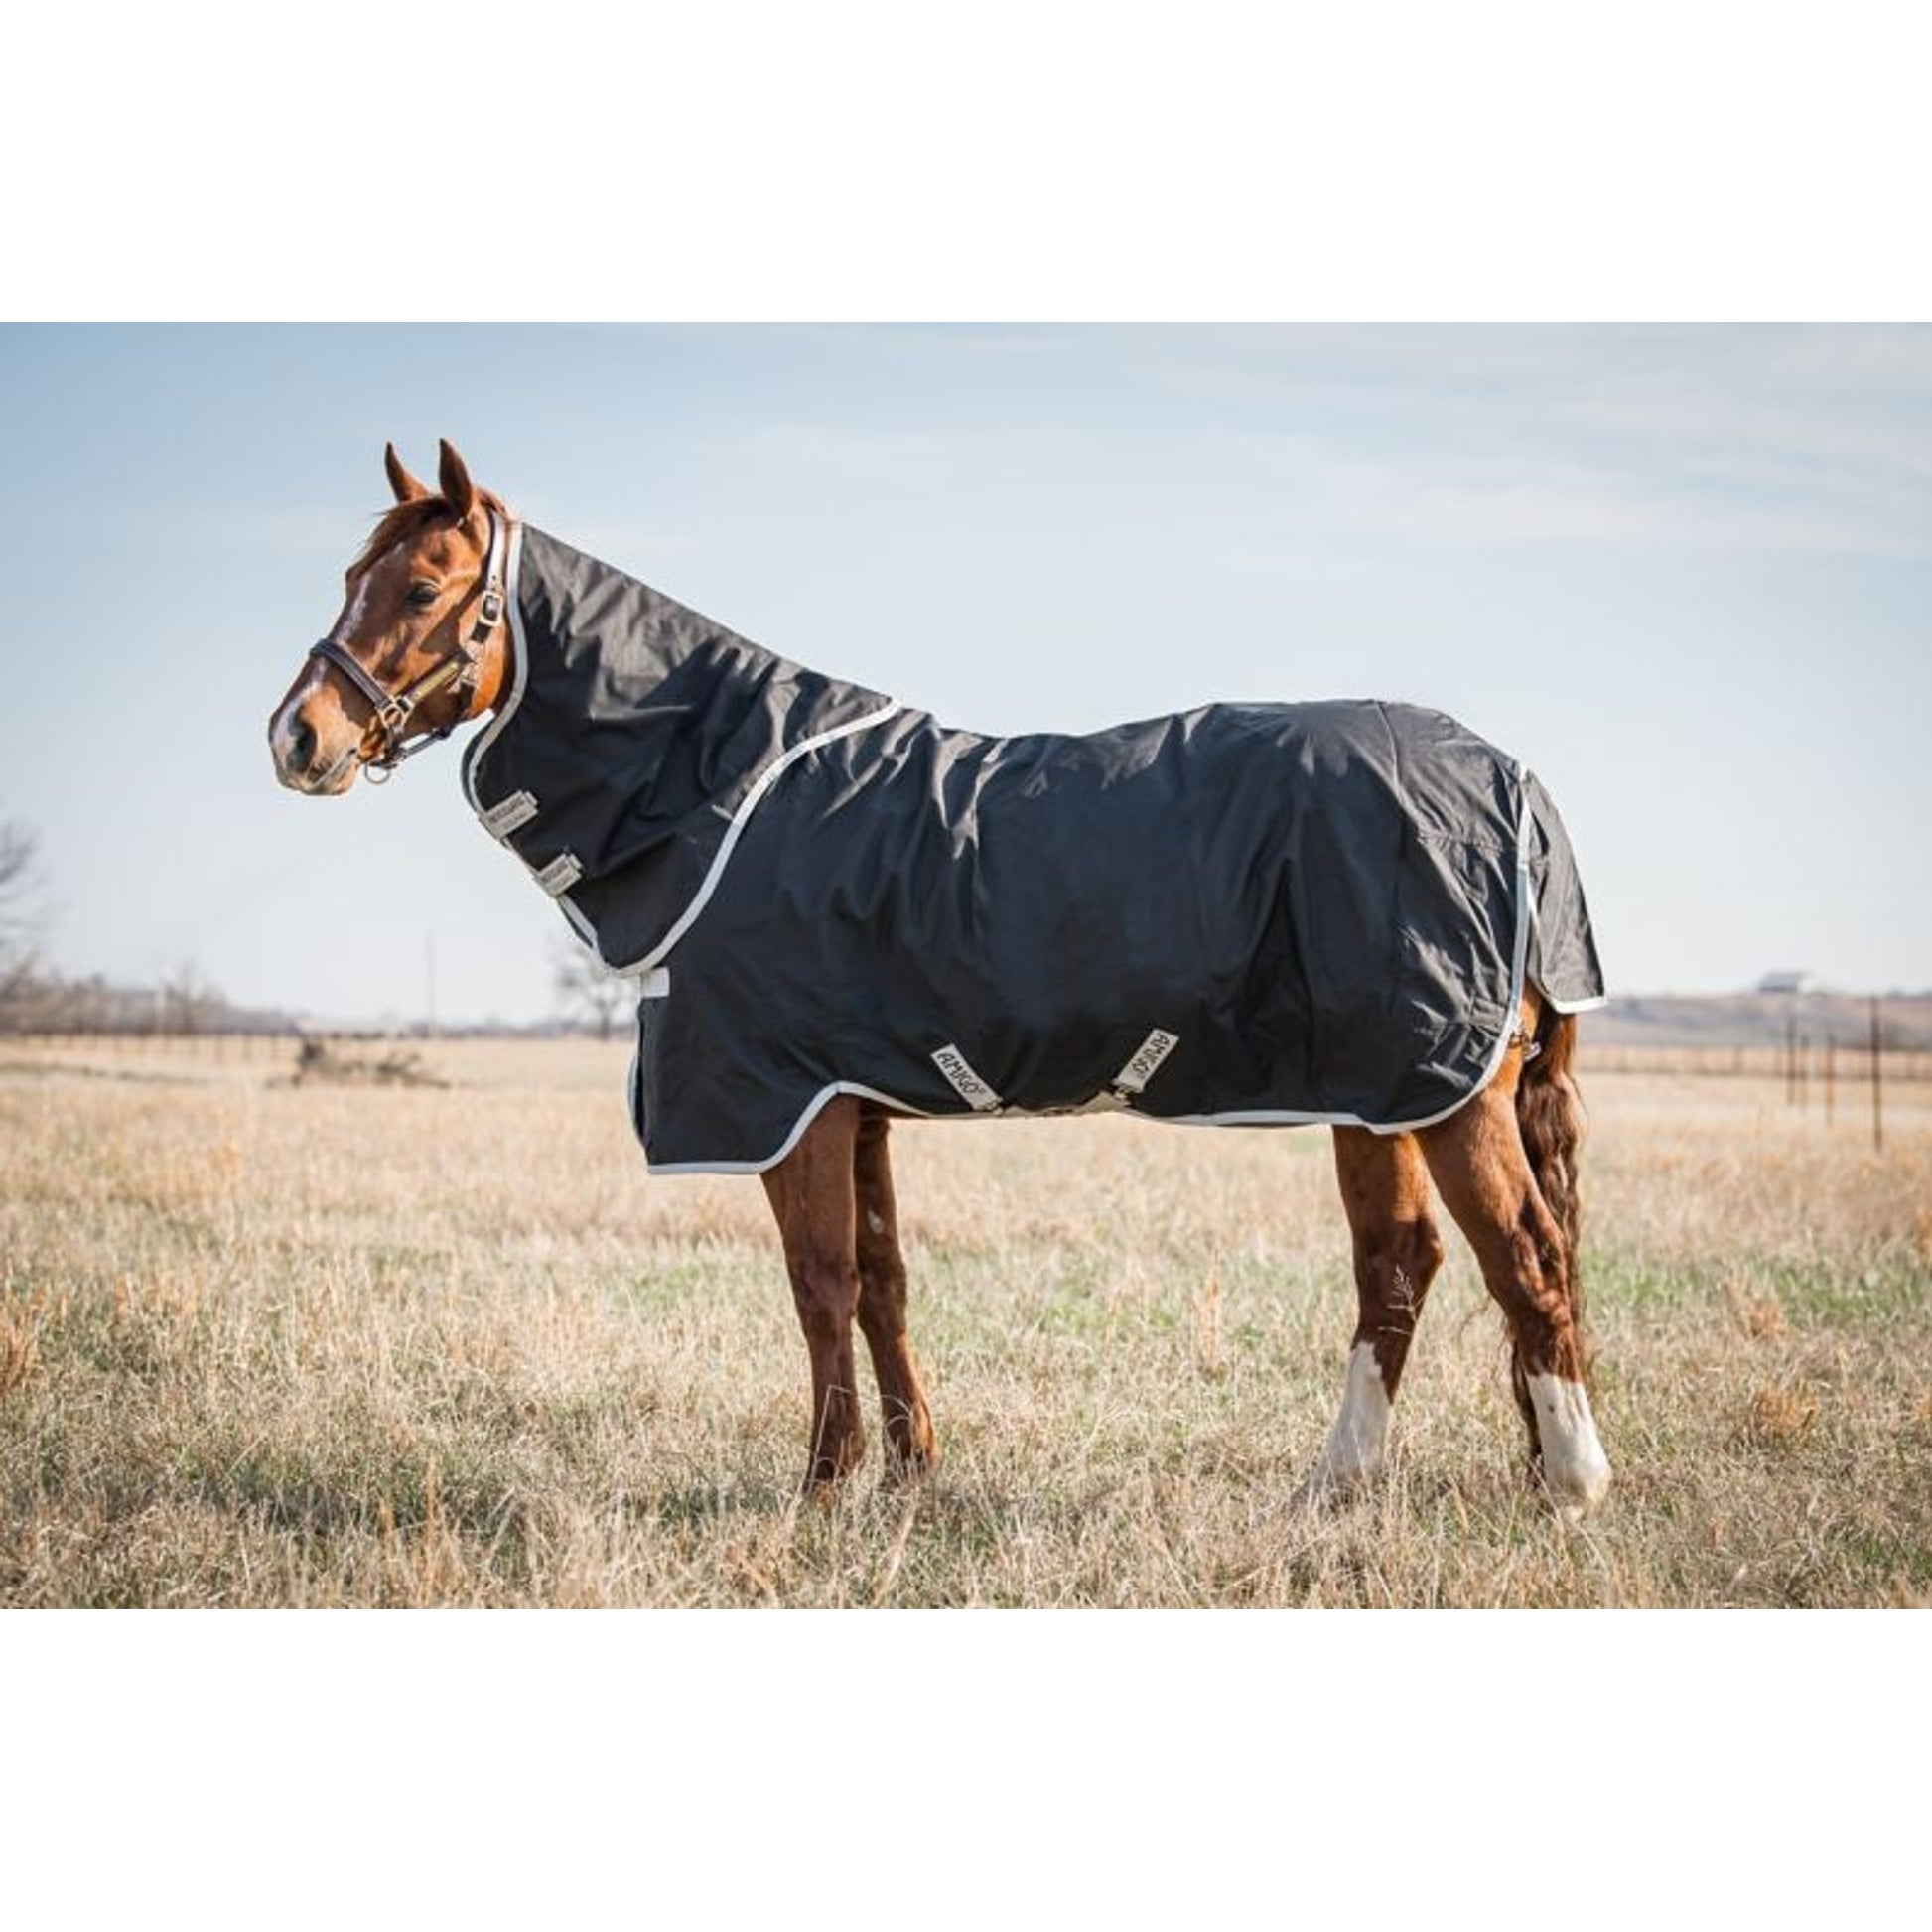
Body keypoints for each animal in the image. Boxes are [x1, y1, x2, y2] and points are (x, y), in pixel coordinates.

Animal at [268, 439, 1613, 1516]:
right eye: (347, 581)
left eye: (423, 587)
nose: (297, 737)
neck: (725, 784)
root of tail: (1514, 782)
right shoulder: (851, 1102)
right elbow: (884, 1283)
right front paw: (913, 1474)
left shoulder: (788, 1105)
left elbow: (818, 1285)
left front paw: (822, 1486)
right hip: (1377, 1091)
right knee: (1401, 1265)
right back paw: (1333, 1485)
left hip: (1440, 1086)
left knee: (1522, 1256)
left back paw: (1570, 1480)